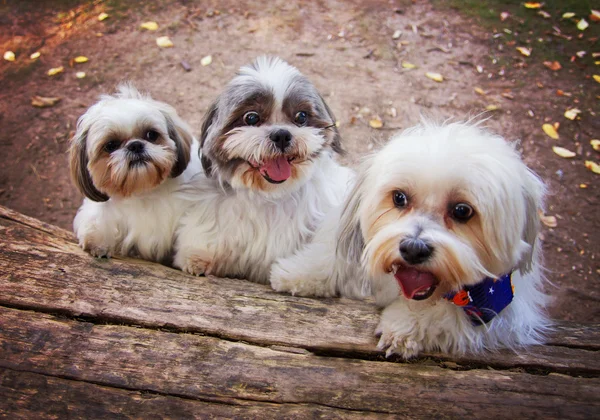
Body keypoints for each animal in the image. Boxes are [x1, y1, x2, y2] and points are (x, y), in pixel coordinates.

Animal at [272, 120, 552, 358]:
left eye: (462, 211)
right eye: (399, 197)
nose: (413, 249)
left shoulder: (502, 309)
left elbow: (446, 313)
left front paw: (403, 326)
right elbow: (336, 255)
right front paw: (298, 272)